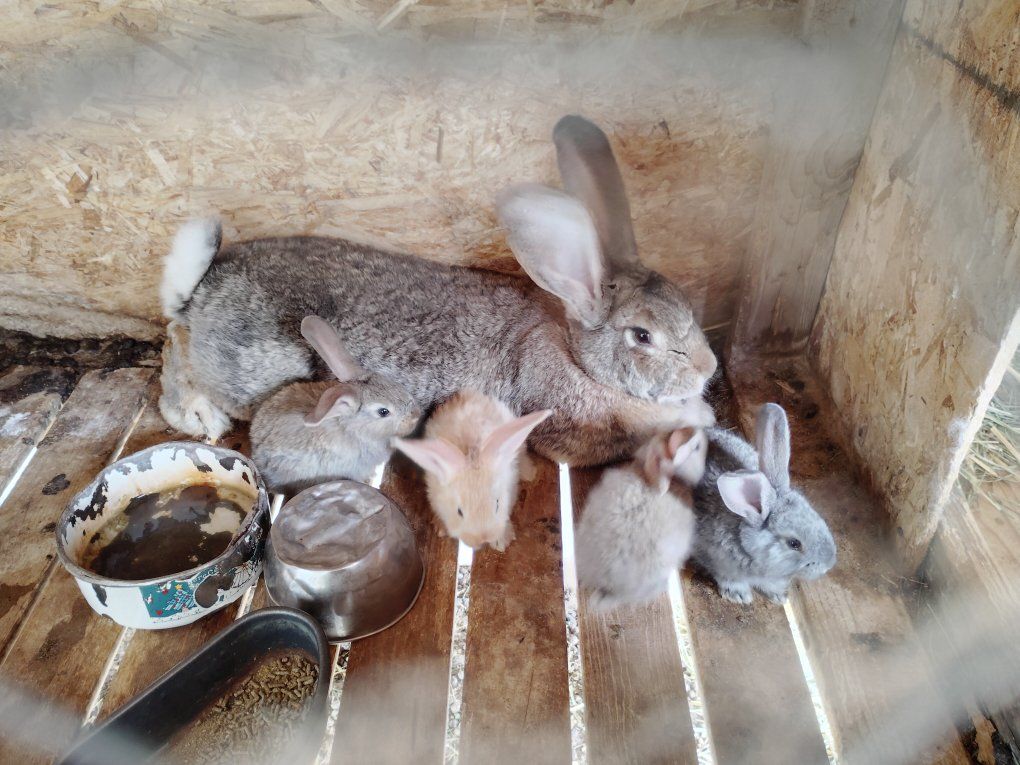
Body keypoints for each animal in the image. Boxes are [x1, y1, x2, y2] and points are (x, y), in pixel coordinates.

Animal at [159, 115, 717, 465]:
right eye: (642, 336)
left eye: (686, 306)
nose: (709, 369)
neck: (578, 360)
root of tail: (203, 287)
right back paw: (201, 416)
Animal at [393, 390, 552, 551]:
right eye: (459, 512)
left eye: (497, 504)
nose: (483, 539)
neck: (471, 452)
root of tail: (468, 394)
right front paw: (440, 527)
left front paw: (501, 541)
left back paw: (529, 473)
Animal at [692, 403, 837, 605]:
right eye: (794, 543)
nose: (827, 566)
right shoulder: (717, 563)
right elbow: (729, 579)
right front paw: (739, 596)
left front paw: (779, 597)